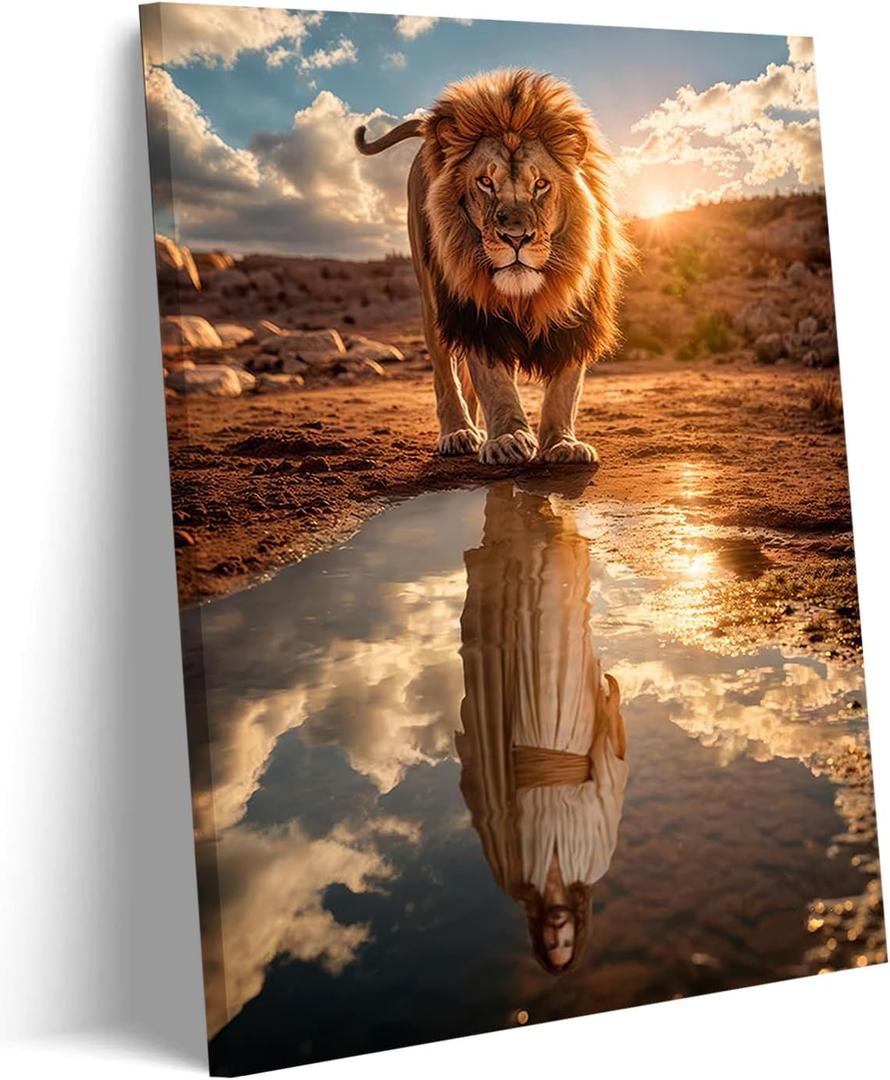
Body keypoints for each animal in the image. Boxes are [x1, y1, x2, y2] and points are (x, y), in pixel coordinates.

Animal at [355, 68, 630, 465]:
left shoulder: (578, 313)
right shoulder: (474, 310)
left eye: (541, 184)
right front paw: (508, 439)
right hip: (432, 300)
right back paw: (459, 432)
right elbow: (493, 382)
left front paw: (562, 443)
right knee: (445, 374)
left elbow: (565, 388)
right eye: (485, 182)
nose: (516, 238)